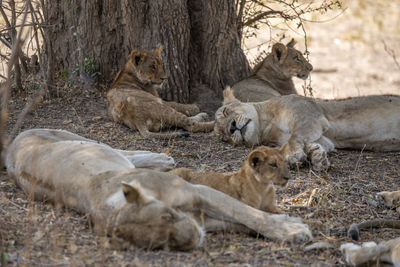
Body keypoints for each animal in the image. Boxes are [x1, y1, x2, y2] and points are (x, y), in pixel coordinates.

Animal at [6, 129, 312, 251]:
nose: (194, 239)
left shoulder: (198, 190)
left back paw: (162, 158)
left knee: (120, 149)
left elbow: (248, 214)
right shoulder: (201, 216)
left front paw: (292, 230)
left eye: (167, 216)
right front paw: (289, 225)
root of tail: (10, 144)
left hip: (79, 139)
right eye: (162, 243)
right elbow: (241, 222)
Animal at [214, 88, 400, 172]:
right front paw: (317, 157)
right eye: (223, 137)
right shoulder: (323, 137)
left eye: (226, 111)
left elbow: (294, 138)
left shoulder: (308, 115)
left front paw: (294, 156)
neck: (265, 125)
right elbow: (314, 144)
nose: (231, 128)